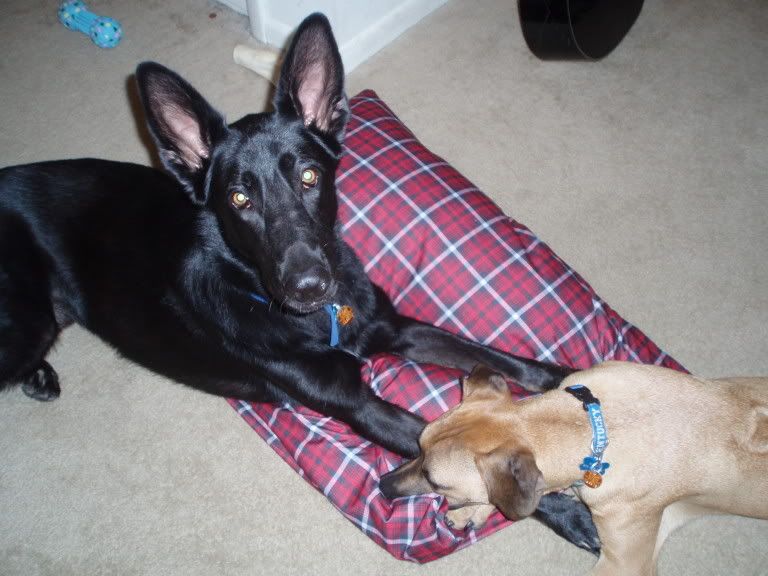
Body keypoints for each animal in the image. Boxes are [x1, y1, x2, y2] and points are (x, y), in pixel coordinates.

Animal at [0, 14, 599, 551]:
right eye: (239, 199)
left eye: (310, 176)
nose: (310, 286)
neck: (318, 321)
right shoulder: (358, 404)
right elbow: (452, 449)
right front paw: (568, 513)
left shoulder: (393, 328)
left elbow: (496, 357)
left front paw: (567, 376)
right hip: (23, 321)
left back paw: (41, 377)